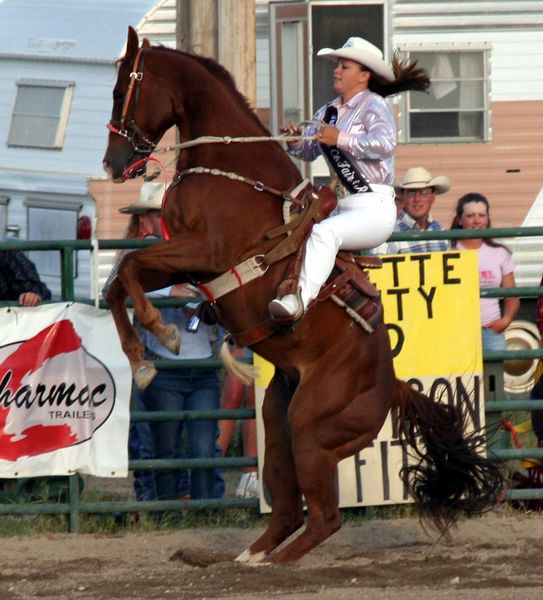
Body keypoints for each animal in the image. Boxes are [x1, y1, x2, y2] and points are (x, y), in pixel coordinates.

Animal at [102, 27, 502, 564]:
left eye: (121, 89)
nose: (112, 163)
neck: (230, 170)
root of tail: (390, 384)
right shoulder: (186, 260)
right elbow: (117, 282)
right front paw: (143, 359)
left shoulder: (200, 251)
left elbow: (127, 269)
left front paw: (160, 333)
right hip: (279, 423)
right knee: (290, 510)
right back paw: (252, 557)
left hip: (313, 427)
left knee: (325, 517)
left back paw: (275, 563)